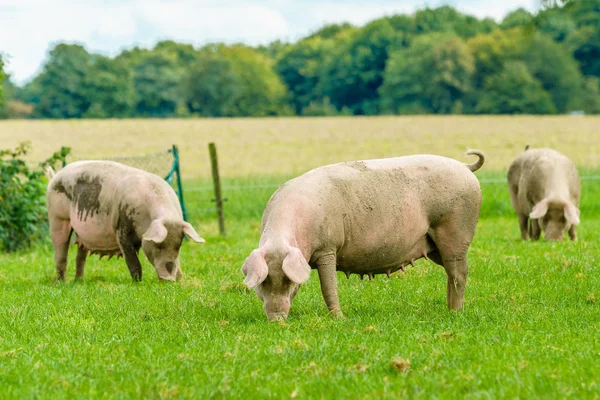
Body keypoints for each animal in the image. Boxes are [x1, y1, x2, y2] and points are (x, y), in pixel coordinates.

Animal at [45, 159, 205, 282]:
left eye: (179, 246)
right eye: (158, 246)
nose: (168, 279)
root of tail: (55, 176)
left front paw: (181, 281)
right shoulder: (121, 227)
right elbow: (132, 260)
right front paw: (138, 283)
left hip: (81, 235)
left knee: (80, 256)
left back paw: (79, 281)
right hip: (57, 218)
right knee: (60, 253)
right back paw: (61, 282)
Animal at [241, 150, 486, 322]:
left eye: (288, 280)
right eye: (262, 282)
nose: (276, 320)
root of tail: (465, 167)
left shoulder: (328, 248)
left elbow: (328, 286)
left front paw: (340, 319)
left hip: (455, 228)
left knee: (459, 272)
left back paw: (455, 312)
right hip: (435, 245)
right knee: (452, 271)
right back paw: (450, 309)